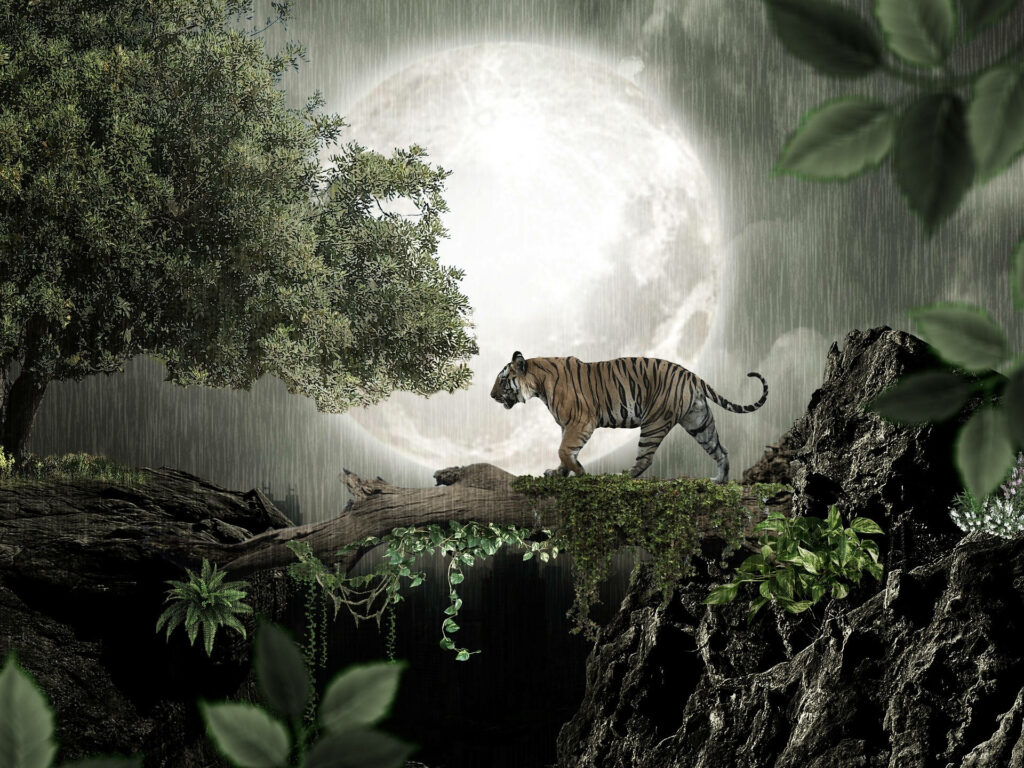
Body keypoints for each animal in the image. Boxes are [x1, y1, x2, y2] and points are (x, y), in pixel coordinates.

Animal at [490, 351, 767, 484]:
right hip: (699, 422)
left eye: (502, 380)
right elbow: (564, 452)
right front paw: (558, 473)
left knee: (645, 458)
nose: (491, 396)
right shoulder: (567, 425)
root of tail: (691, 374)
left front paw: (580, 472)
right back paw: (720, 480)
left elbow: (564, 450)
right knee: (721, 450)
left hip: (654, 422)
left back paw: (619, 477)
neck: (538, 383)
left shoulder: (581, 421)